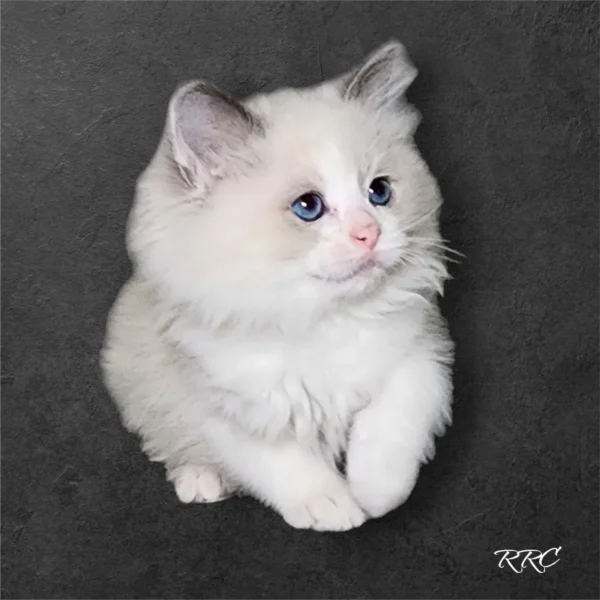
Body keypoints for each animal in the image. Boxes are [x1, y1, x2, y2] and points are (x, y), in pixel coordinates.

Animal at [101, 41, 452, 528]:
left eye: (379, 192)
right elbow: (284, 461)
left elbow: (392, 425)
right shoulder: (223, 405)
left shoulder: (423, 354)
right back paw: (201, 480)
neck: (321, 320)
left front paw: (374, 494)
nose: (369, 233)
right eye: (308, 207)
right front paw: (334, 507)